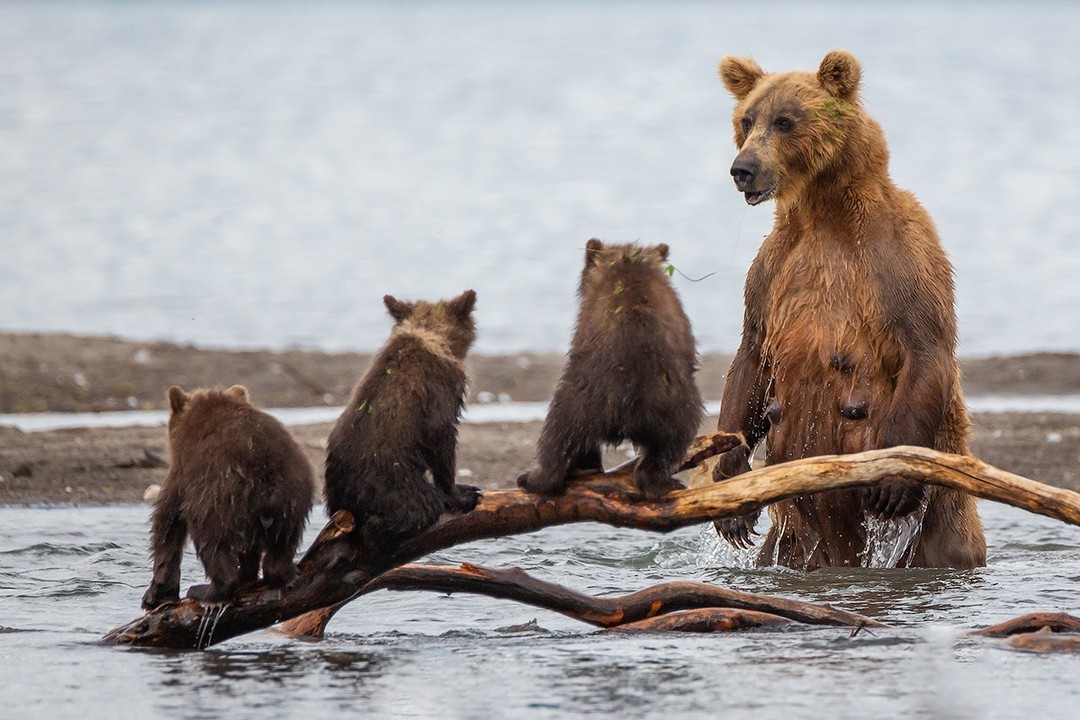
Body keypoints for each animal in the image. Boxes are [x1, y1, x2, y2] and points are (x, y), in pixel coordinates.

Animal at [141, 382, 315, 608]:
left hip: (217, 495)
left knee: (211, 540)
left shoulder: (184, 472)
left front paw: (156, 593)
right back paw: (284, 574)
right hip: (292, 497)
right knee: (282, 541)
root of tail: (265, 472)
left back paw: (207, 590)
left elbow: (168, 520)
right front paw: (248, 574)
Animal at [319, 289, 481, 548]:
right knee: (416, 508)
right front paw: (463, 494)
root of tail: (347, 506)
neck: (430, 337)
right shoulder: (440, 392)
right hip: (395, 484)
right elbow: (442, 438)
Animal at [708, 50, 989, 569]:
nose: (743, 169)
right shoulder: (772, 270)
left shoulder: (899, 256)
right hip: (793, 540)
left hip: (940, 520)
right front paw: (732, 490)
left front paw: (892, 484)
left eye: (786, 120)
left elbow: (924, 347)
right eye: (746, 120)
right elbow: (752, 354)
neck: (824, 213)